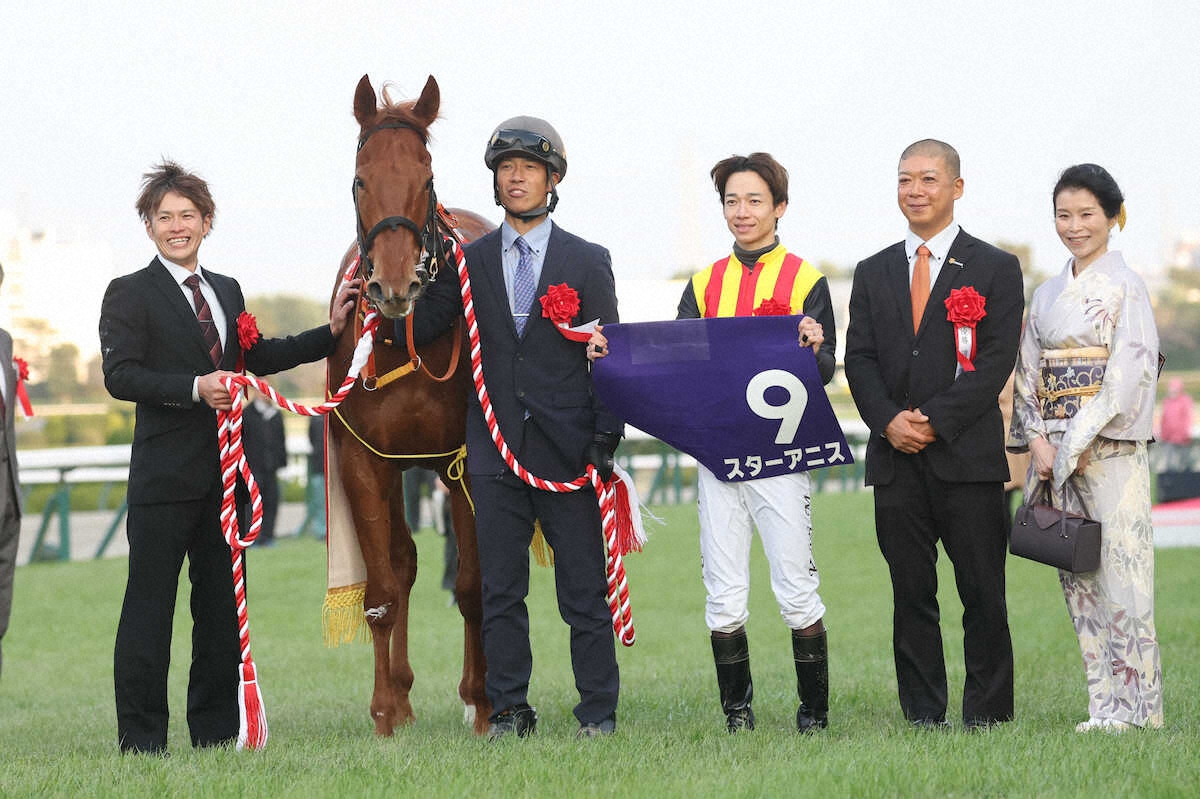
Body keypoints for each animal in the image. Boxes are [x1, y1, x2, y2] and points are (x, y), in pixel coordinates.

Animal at [326, 73, 493, 736]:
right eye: (359, 179)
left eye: (425, 178)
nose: (394, 287)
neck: (407, 337)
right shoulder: (363, 459)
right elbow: (383, 588)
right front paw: (386, 710)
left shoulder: (463, 459)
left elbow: (473, 585)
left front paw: (484, 703)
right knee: (403, 563)